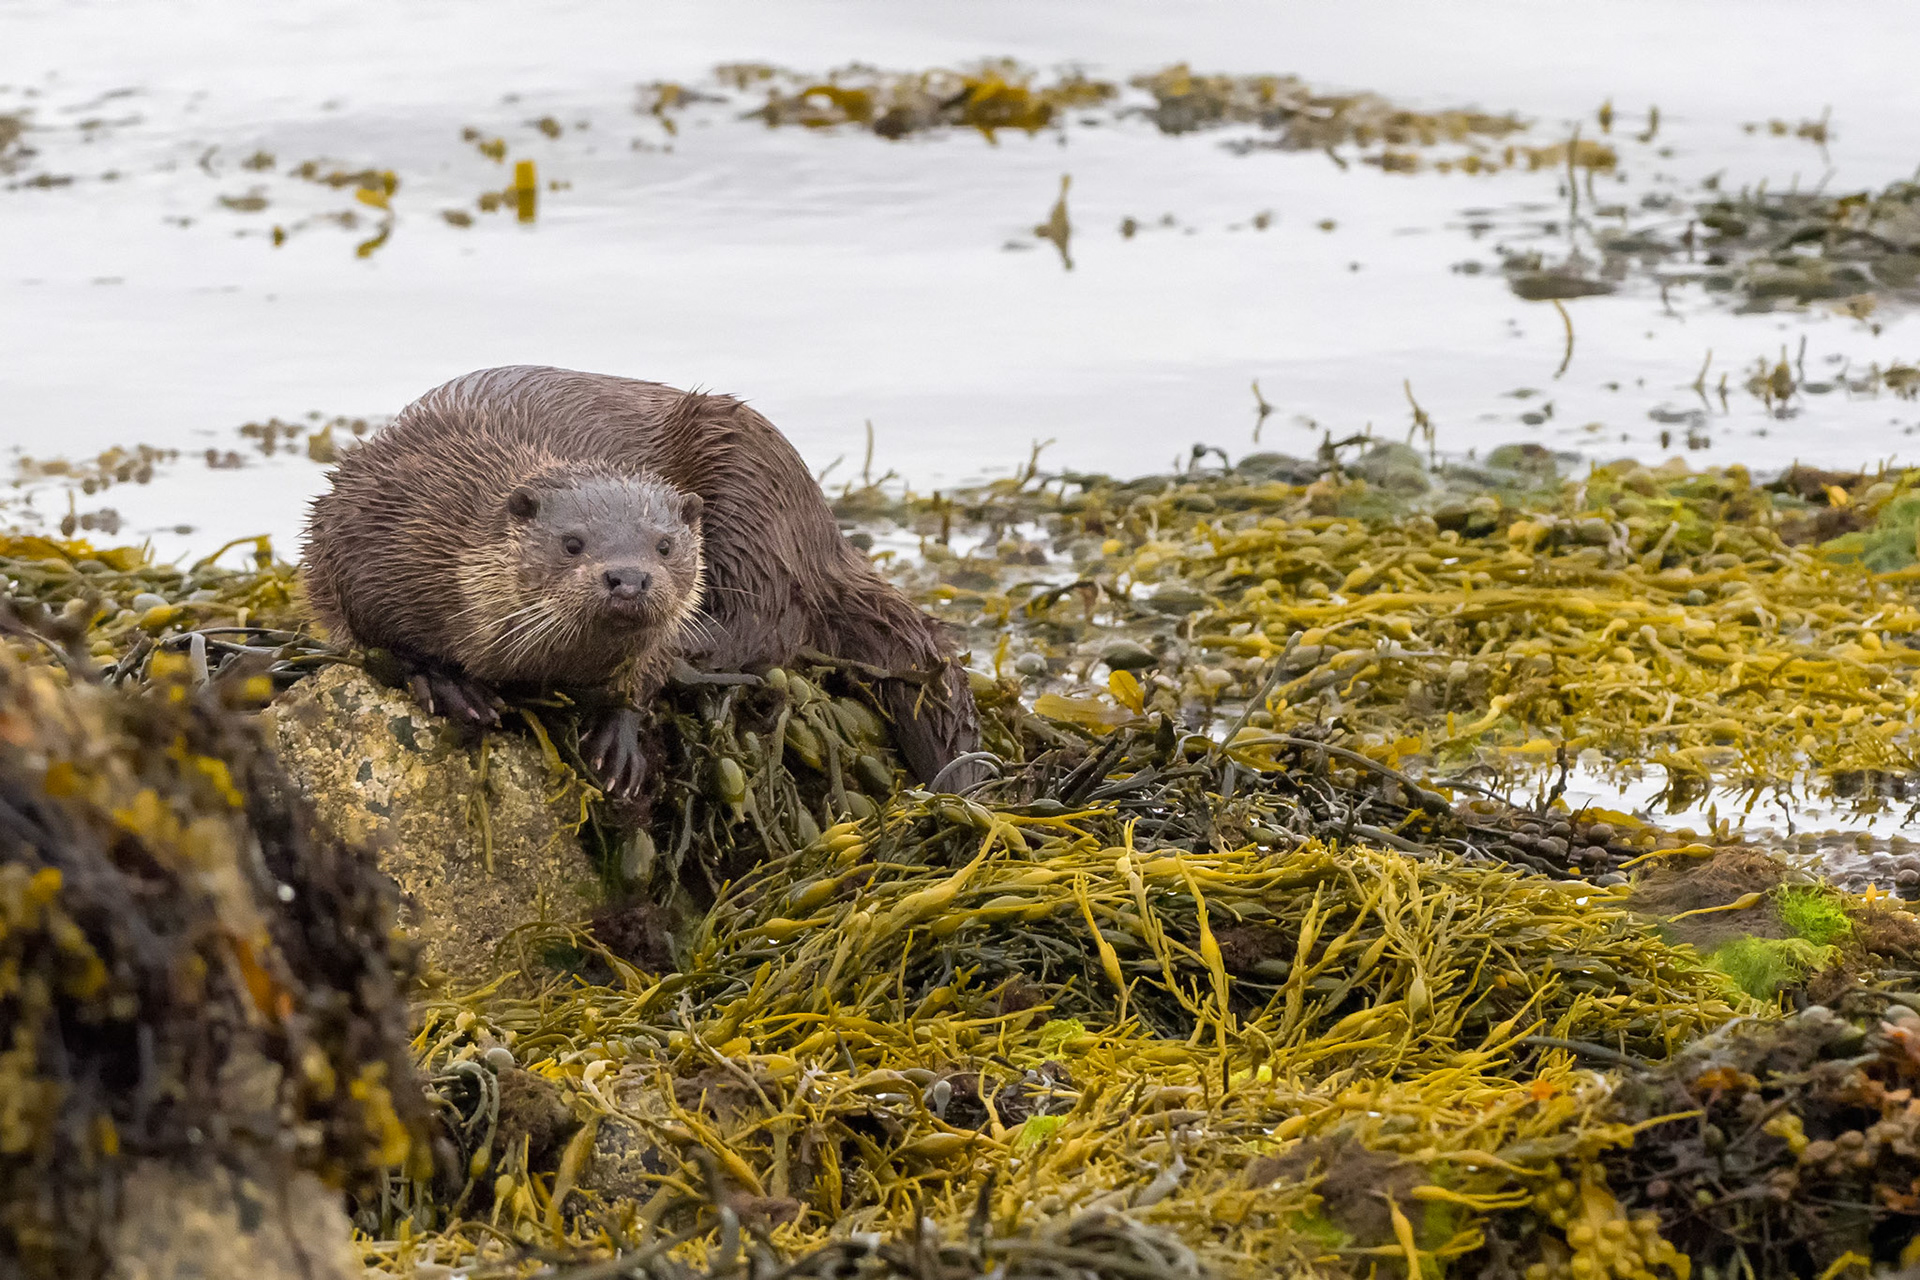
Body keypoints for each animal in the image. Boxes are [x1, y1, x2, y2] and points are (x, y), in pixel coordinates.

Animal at [302, 366, 981, 798]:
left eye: (664, 544)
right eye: (573, 542)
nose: (628, 577)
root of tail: (826, 535)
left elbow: (647, 669)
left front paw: (620, 735)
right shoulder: (358, 530)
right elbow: (372, 628)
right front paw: (446, 682)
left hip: (751, 482)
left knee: (769, 623)